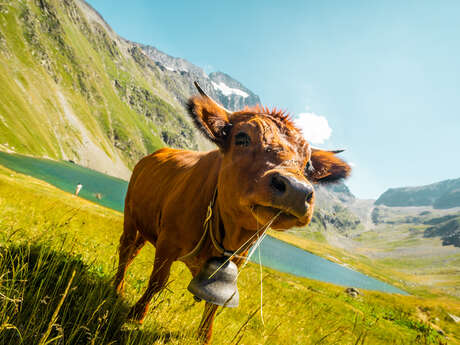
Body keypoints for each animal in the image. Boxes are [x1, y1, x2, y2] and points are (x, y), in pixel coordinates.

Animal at [113, 82, 350, 342]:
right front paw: (136, 316)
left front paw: (204, 337)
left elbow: (216, 304)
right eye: (242, 137)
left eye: (308, 165)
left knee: (134, 250)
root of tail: (154, 154)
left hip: (147, 226)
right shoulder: (168, 242)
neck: (227, 233)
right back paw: (117, 289)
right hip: (130, 214)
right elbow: (157, 282)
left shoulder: (235, 263)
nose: (296, 189)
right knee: (125, 249)